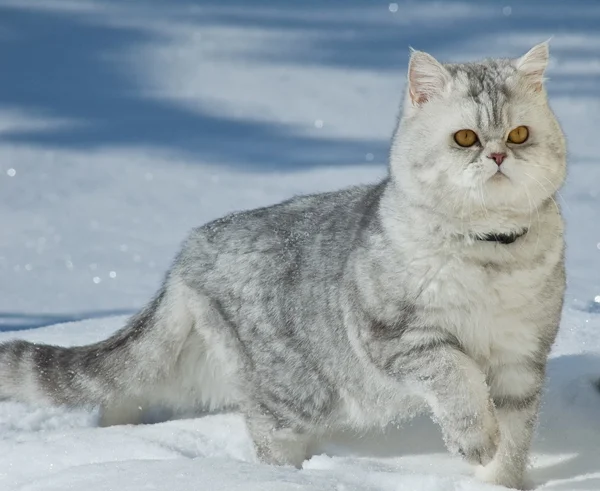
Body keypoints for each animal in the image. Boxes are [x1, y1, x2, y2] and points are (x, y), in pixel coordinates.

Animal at [0, 44, 564, 490]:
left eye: (519, 133)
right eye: (465, 138)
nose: (498, 156)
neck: (490, 257)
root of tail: (189, 249)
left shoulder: (521, 359)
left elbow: (514, 436)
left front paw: (499, 480)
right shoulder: (398, 336)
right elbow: (457, 378)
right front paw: (476, 440)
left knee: (129, 394)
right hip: (294, 389)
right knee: (263, 429)